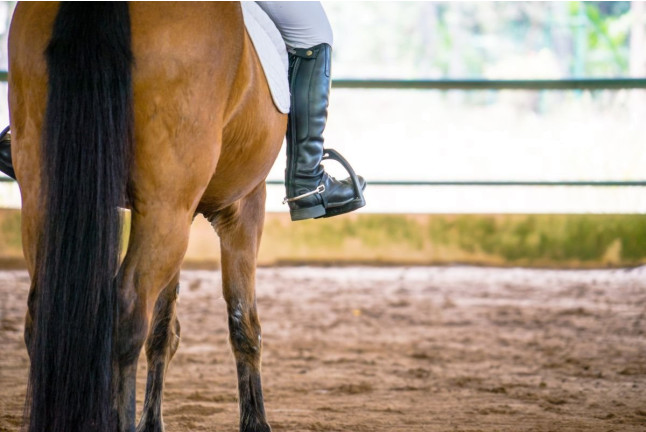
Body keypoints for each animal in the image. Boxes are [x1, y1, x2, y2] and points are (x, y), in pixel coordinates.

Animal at [9, 3, 285, 431]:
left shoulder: (185, 213)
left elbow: (164, 329)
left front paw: (151, 420)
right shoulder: (242, 206)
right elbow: (244, 324)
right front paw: (255, 423)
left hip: (46, 195)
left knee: (45, 313)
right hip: (166, 208)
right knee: (126, 312)